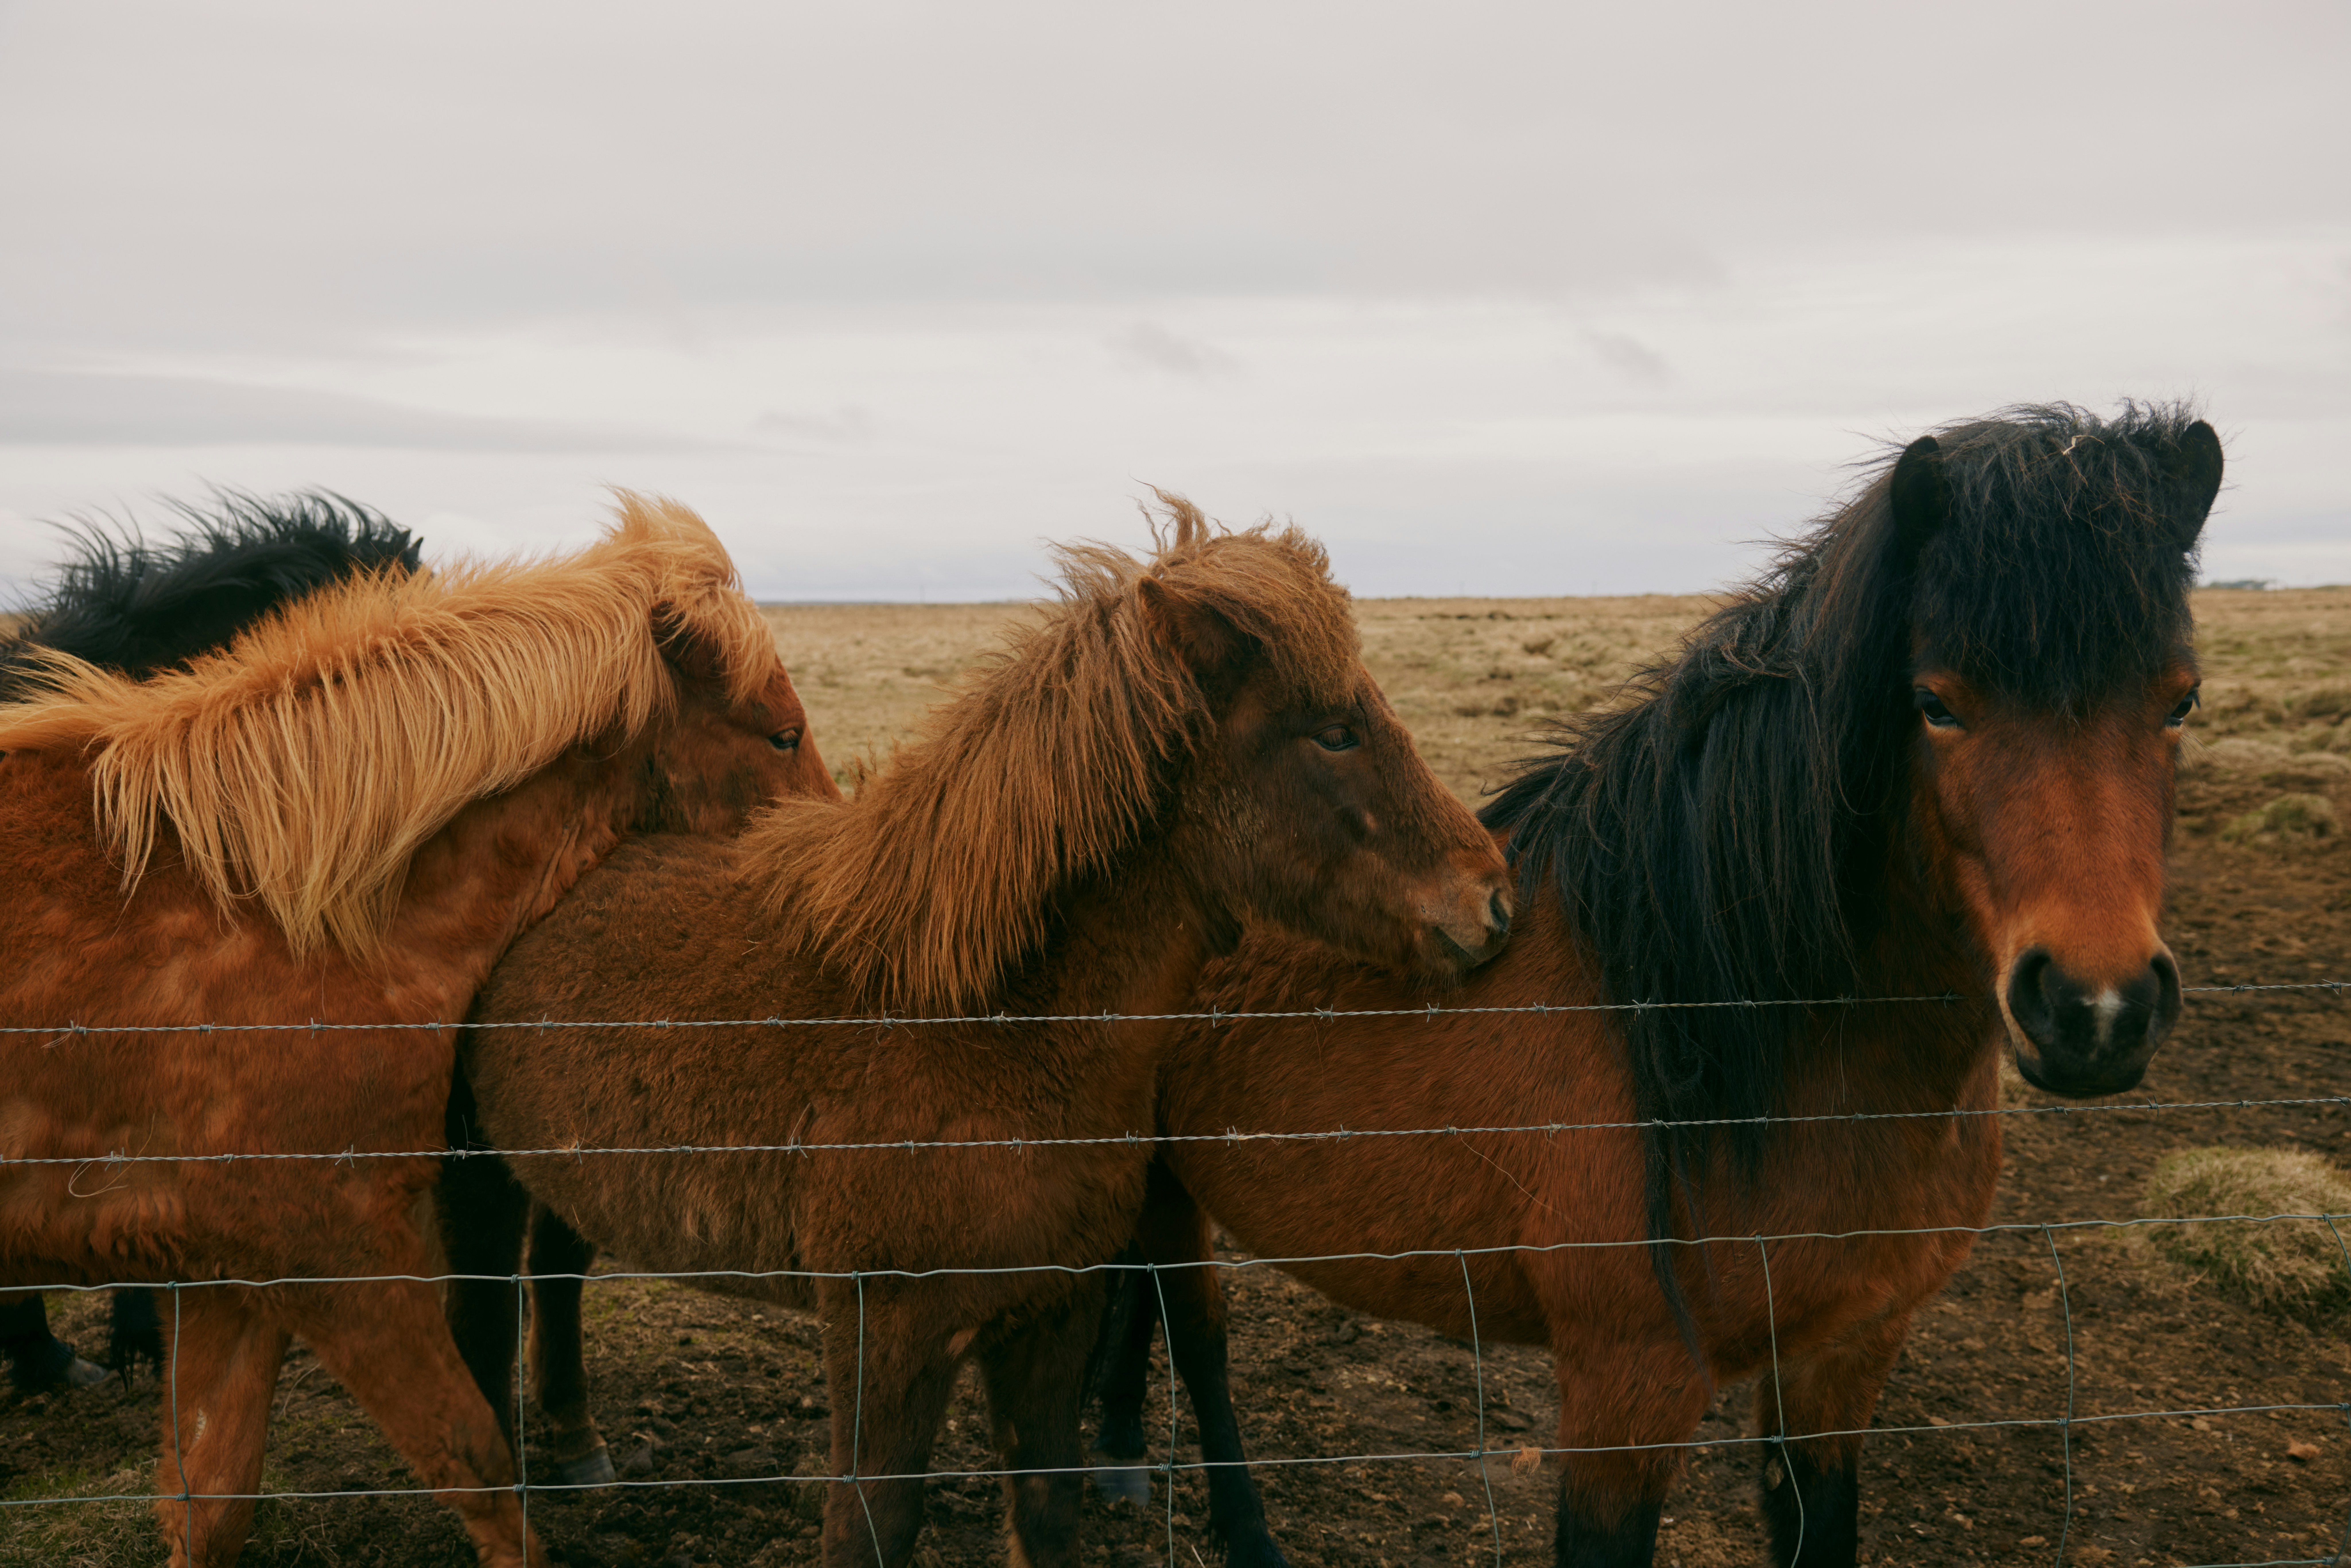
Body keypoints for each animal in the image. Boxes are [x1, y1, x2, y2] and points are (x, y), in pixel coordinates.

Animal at [444, 499, 1513, 1568]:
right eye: (1335, 732)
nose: (1495, 900)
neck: (983, 1025)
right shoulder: (888, 1335)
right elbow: (871, 1527)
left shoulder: (1053, 1313)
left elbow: (1047, 1508)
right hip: (479, 1178)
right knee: (482, 1328)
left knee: (554, 1274)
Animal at [1091, 404, 2225, 1568]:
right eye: (1934, 705)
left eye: (2180, 700)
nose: (2094, 1007)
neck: (1729, 1027)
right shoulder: (1625, 1390)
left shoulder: (1841, 1362)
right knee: (1193, 1331)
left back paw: (1121, 1456)